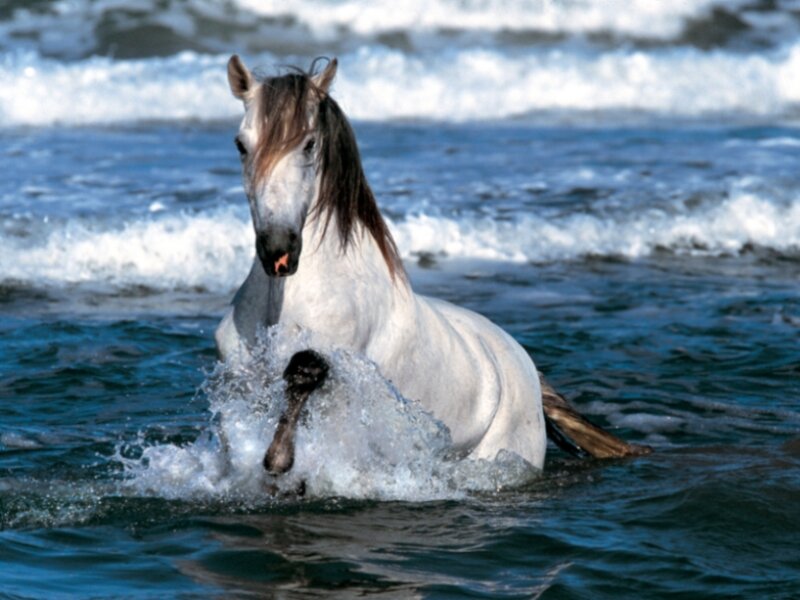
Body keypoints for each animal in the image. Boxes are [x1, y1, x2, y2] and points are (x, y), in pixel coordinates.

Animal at [215, 56, 650, 474]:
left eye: (308, 144)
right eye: (240, 144)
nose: (278, 249)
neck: (284, 301)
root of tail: (526, 366)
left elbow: (305, 375)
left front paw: (279, 461)